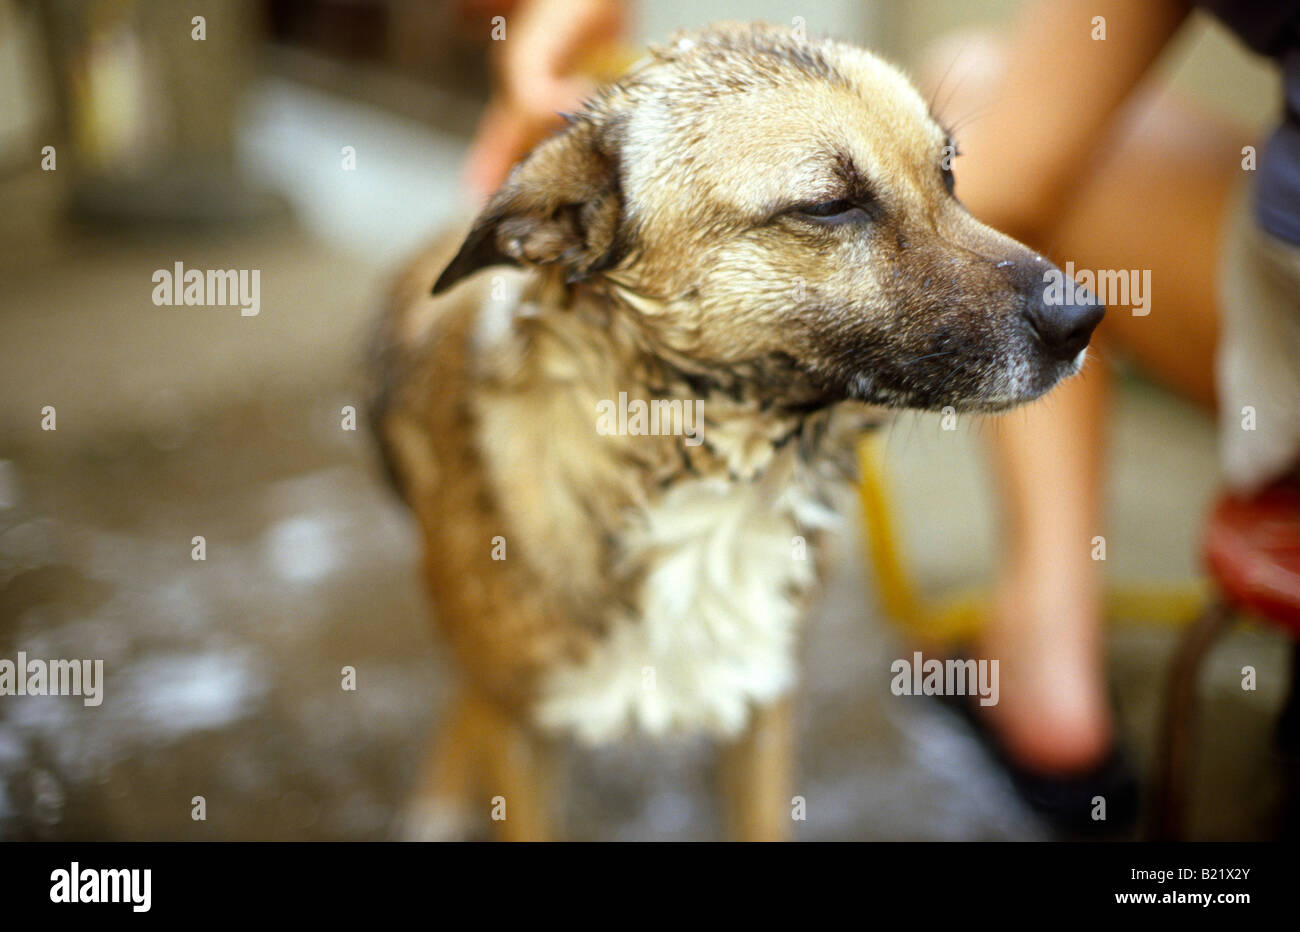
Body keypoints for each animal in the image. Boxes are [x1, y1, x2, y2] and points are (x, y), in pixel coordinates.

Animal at [371, 21, 1102, 842]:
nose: (1084, 318)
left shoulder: (763, 708)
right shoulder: (522, 736)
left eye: (947, 173)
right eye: (829, 205)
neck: (706, 476)